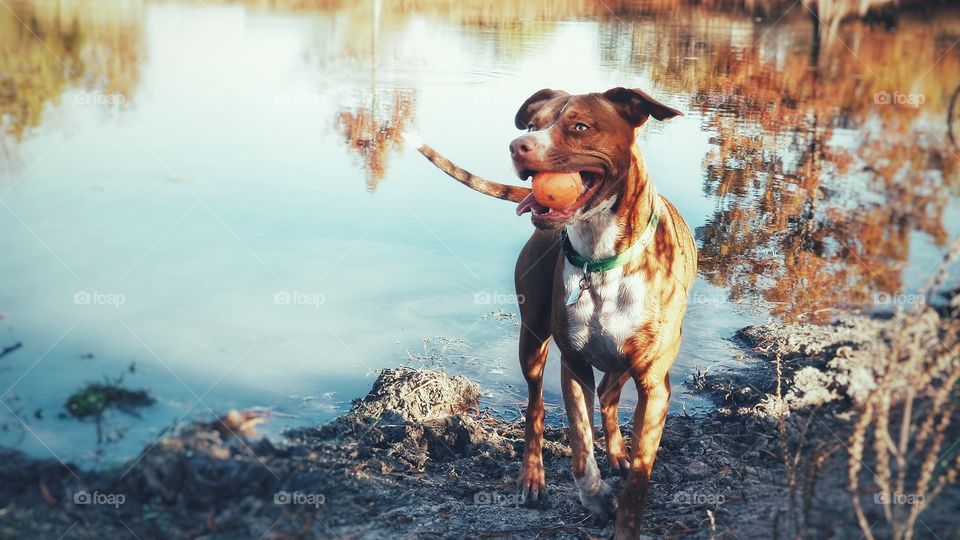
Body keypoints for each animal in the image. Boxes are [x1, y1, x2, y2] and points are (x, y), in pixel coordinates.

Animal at [408, 86, 692, 536]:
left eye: (580, 126)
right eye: (532, 125)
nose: (518, 146)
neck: (600, 257)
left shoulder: (653, 382)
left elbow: (638, 477)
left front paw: (624, 516)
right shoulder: (573, 366)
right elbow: (579, 448)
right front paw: (596, 498)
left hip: (621, 362)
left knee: (610, 396)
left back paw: (616, 452)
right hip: (533, 339)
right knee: (536, 406)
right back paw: (533, 476)